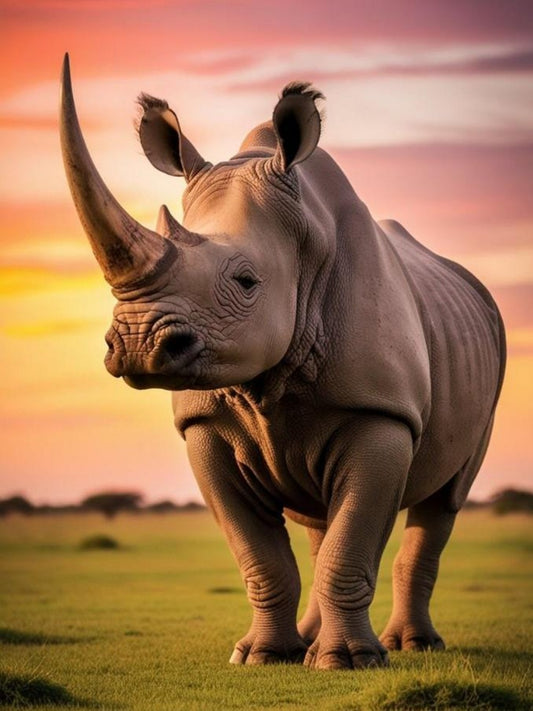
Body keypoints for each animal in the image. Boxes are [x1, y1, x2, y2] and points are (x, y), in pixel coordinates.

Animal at [60, 54, 505, 669]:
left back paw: (410, 645)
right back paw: (312, 643)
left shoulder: (383, 414)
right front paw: (263, 657)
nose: (135, 343)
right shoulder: (204, 424)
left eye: (247, 282)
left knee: (445, 499)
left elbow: (353, 541)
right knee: (320, 519)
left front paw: (350, 663)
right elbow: (262, 556)